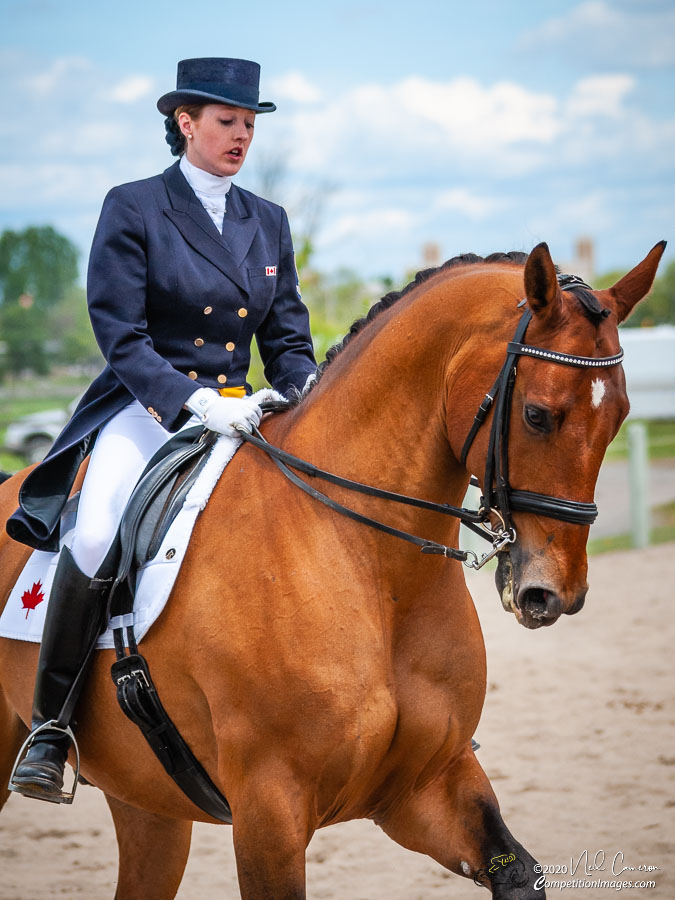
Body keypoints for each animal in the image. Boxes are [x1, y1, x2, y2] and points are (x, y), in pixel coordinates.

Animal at [0, 243, 664, 896]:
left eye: (622, 413)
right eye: (537, 415)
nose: (554, 593)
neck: (372, 571)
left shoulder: (427, 785)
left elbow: (519, 873)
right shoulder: (269, 812)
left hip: (147, 802)